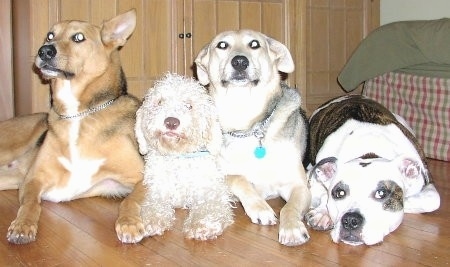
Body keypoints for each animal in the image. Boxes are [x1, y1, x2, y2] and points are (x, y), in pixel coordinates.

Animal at [0, 9, 142, 245]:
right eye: (50, 35)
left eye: (78, 37)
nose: (44, 51)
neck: (79, 114)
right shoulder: (33, 179)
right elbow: (30, 205)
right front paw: (22, 225)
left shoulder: (144, 176)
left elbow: (131, 200)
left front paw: (129, 223)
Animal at [134, 73, 234, 241]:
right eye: (160, 102)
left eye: (189, 105)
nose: (171, 122)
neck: (178, 157)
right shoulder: (159, 190)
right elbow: (155, 204)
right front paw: (152, 220)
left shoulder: (211, 191)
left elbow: (210, 207)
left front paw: (201, 225)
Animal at [306, 95, 440, 246]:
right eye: (340, 193)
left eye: (381, 193)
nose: (351, 220)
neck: (369, 150)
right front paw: (323, 212)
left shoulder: (427, 182)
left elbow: (432, 201)